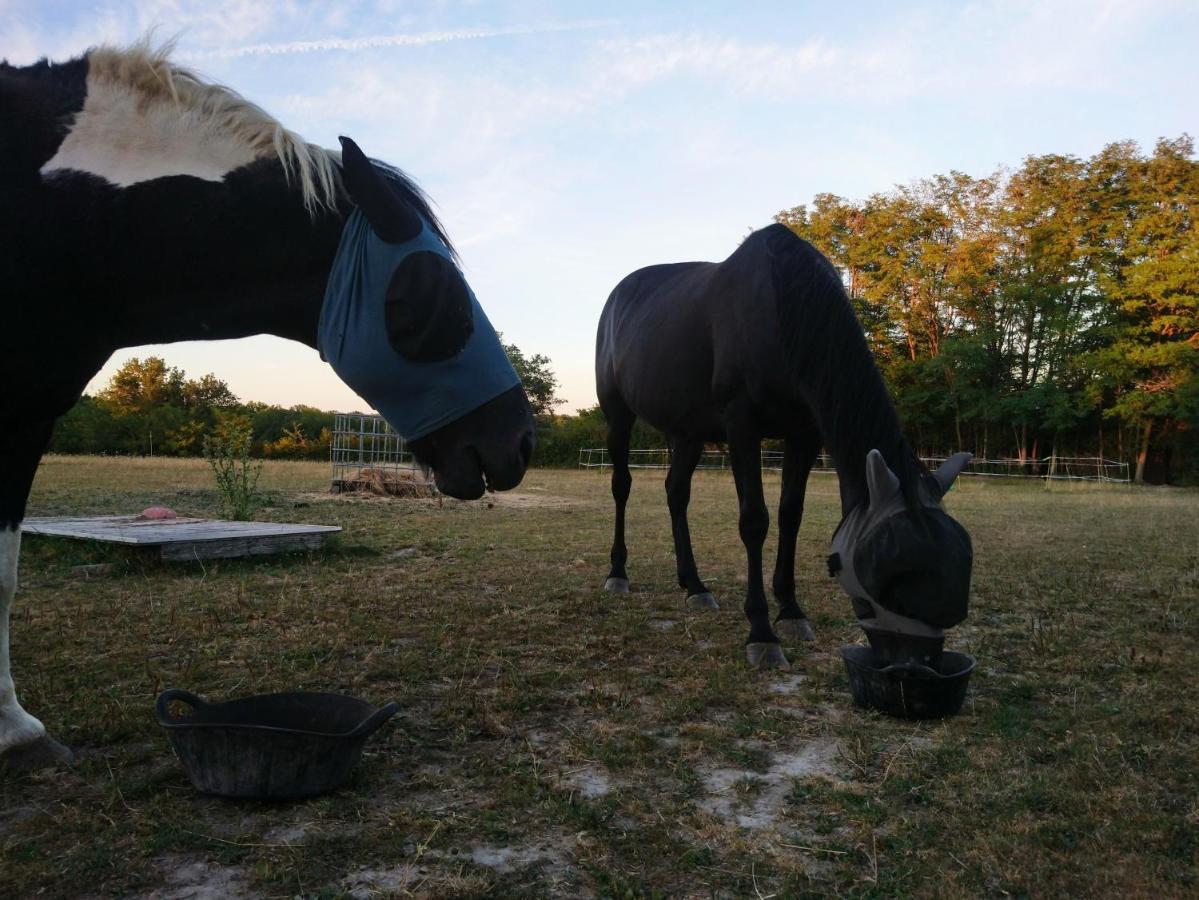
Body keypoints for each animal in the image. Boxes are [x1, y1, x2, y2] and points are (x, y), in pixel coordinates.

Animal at [594, 224, 968, 671]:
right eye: (891, 577)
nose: (917, 663)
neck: (780, 305)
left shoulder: (804, 433)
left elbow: (791, 515)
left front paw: (790, 611)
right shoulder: (742, 424)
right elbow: (754, 521)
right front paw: (761, 632)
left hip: (687, 433)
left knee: (676, 494)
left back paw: (694, 585)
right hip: (619, 417)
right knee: (621, 487)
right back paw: (618, 573)